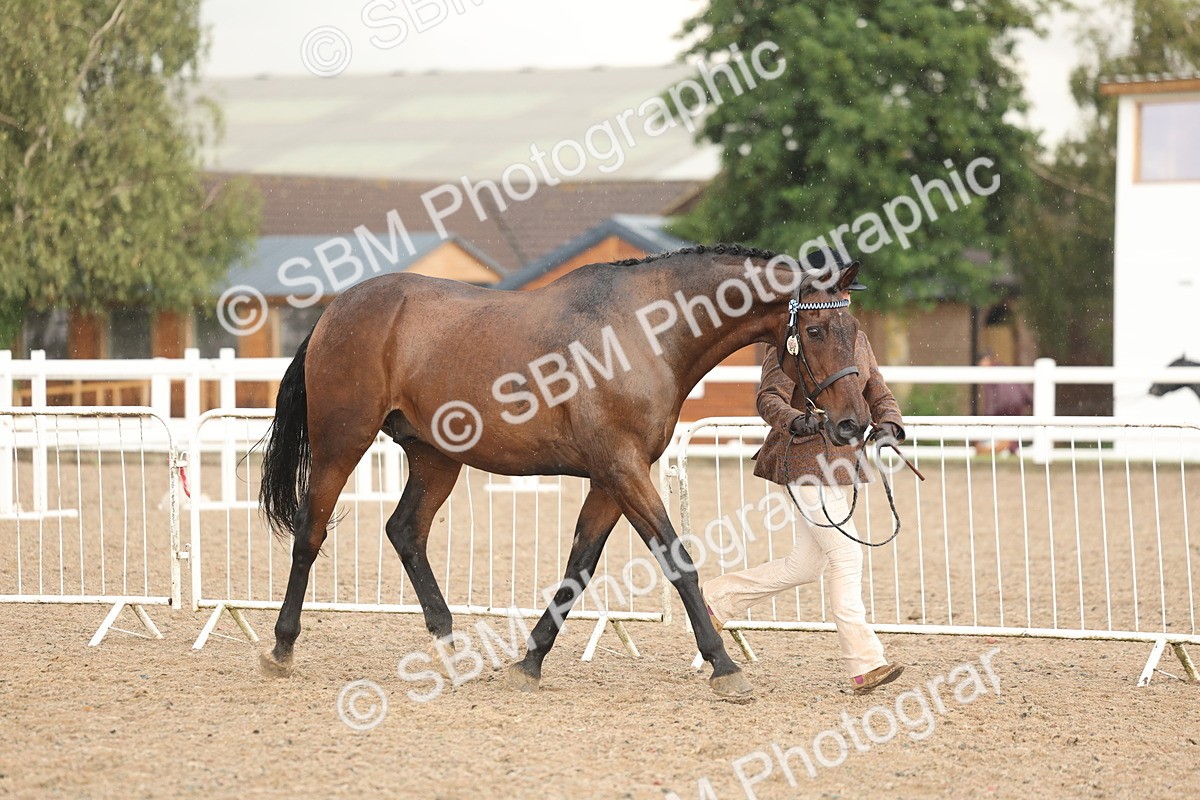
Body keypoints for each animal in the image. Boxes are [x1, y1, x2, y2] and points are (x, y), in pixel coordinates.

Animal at [255, 244, 870, 700]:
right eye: (816, 332)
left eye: (853, 328)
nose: (852, 423)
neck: (644, 330)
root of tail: (336, 310)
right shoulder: (623, 471)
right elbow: (678, 563)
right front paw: (723, 664)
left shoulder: (610, 479)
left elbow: (580, 565)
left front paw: (530, 660)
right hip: (342, 443)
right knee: (310, 533)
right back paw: (282, 648)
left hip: (436, 458)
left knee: (405, 531)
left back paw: (450, 649)